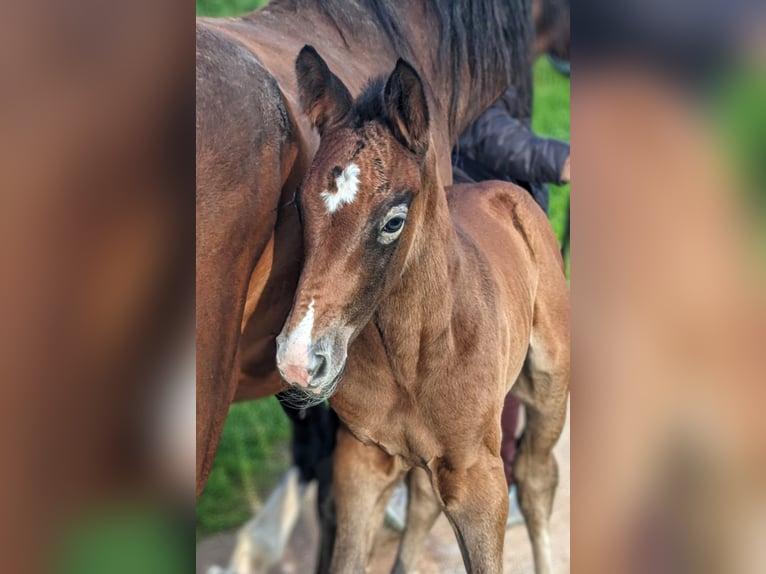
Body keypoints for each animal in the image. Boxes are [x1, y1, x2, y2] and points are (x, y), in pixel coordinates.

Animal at [276, 50, 568, 574]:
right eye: (300, 206)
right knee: (425, 500)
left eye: (394, 221)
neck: (410, 360)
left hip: (551, 383)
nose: (298, 360)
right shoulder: (361, 462)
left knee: (537, 480)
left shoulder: (480, 480)